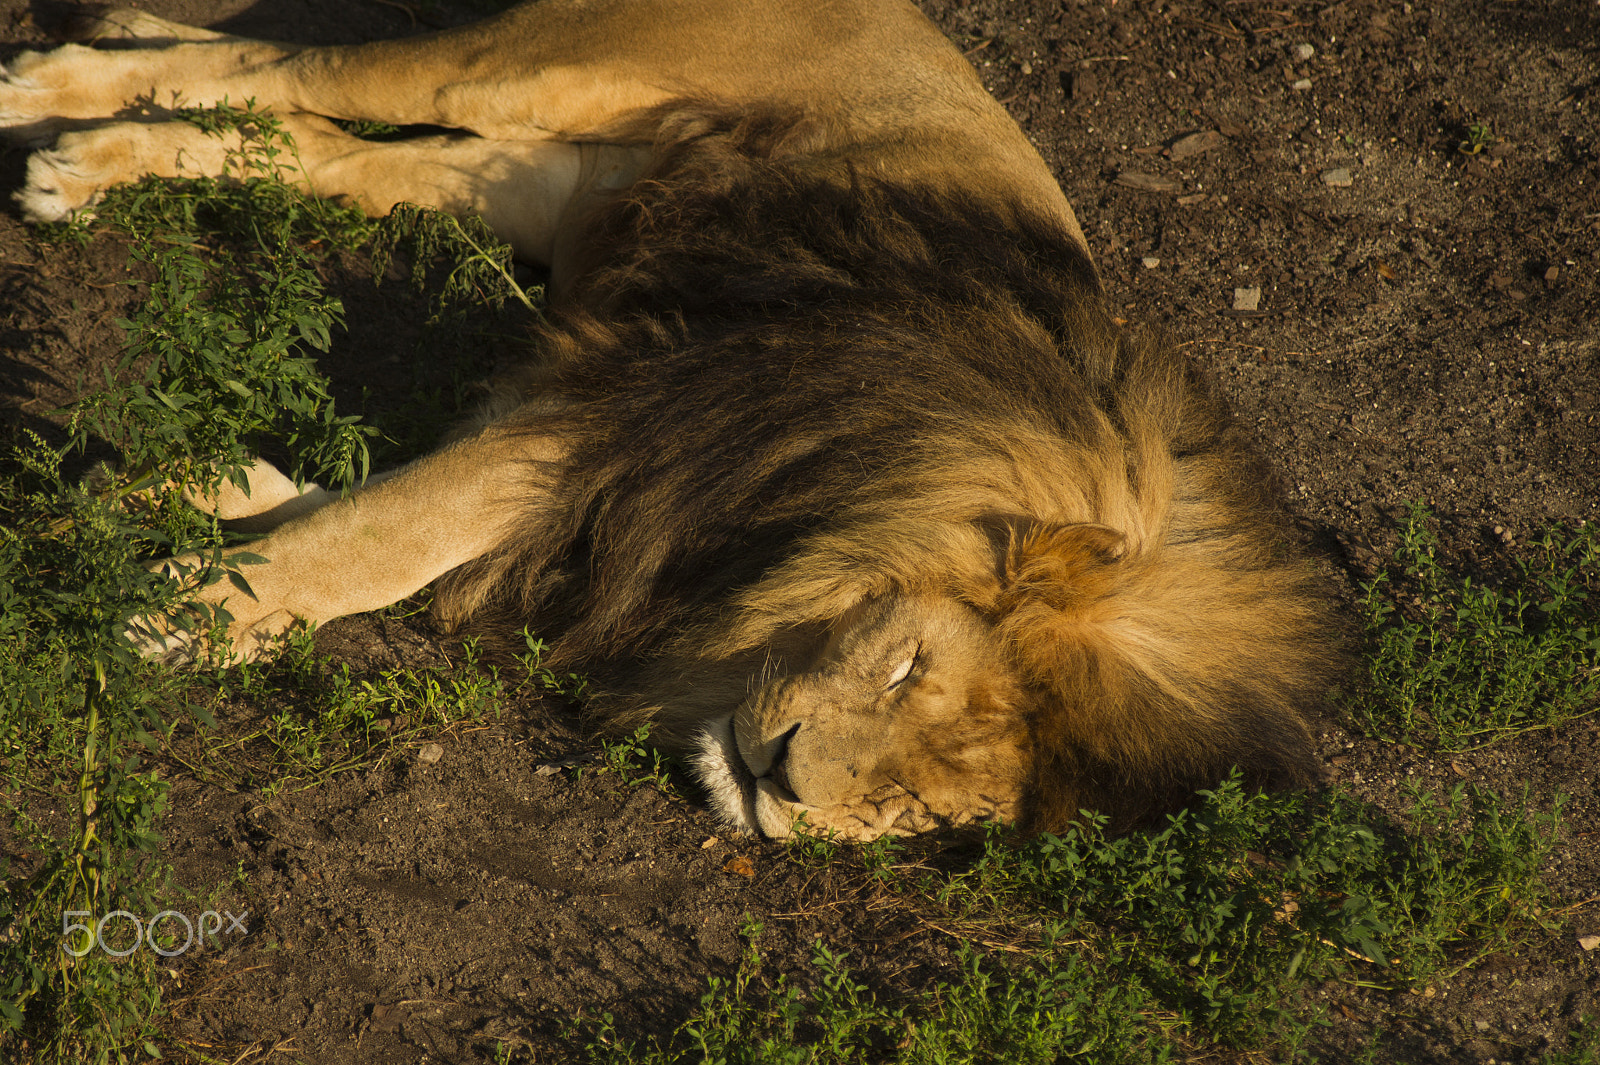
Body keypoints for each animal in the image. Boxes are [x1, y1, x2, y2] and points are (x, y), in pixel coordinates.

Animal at [6, 0, 1344, 837]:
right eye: (907, 667)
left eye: (921, 812)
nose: (781, 786)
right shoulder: (628, 417)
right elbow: (387, 539)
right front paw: (183, 609)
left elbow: (368, 510)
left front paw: (193, 506)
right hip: (536, 67)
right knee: (295, 72)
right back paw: (47, 90)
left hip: (540, 181)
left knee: (300, 136)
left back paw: (90, 149)